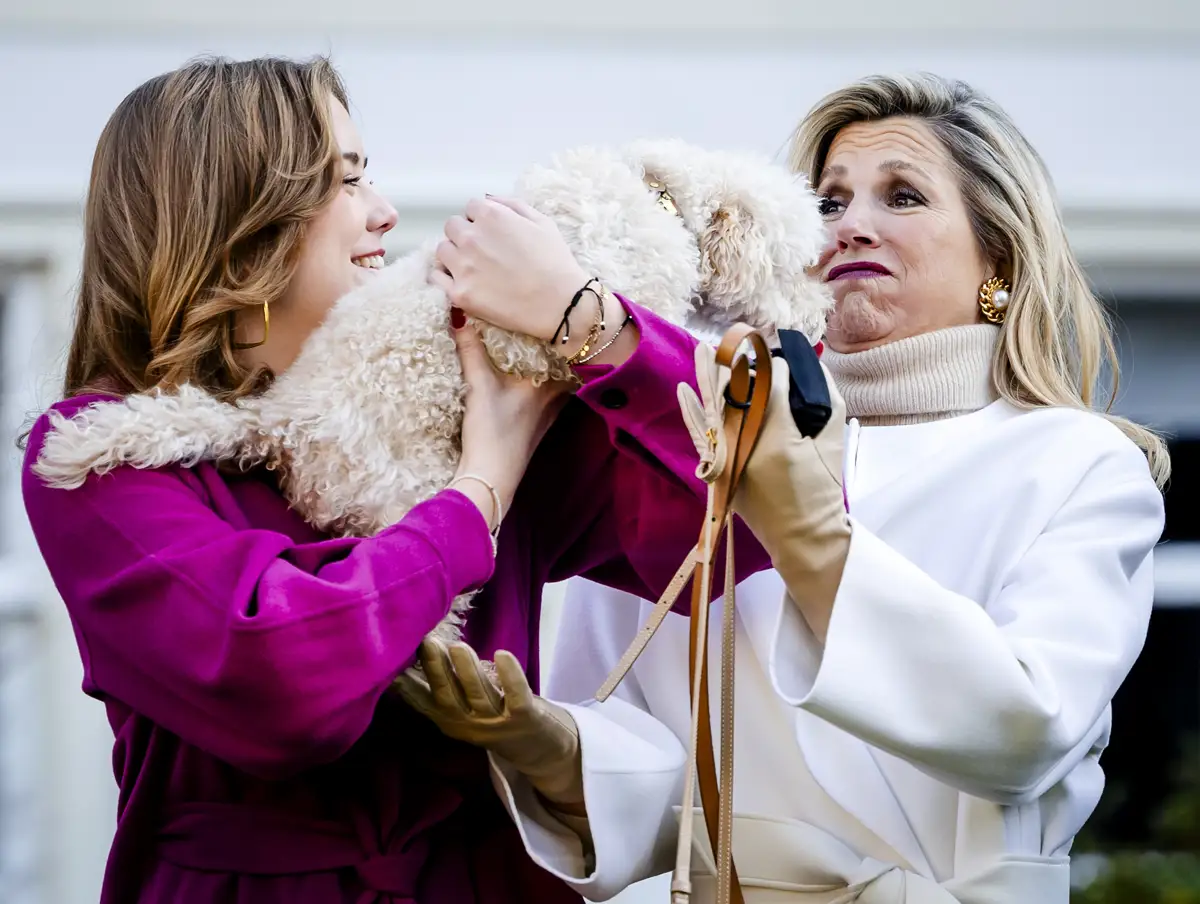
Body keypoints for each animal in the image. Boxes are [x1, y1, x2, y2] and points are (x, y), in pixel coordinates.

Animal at [32, 137, 830, 657]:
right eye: (801, 265)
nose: (822, 322)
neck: (659, 200)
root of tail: (277, 421)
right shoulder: (521, 333)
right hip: (405, 487)